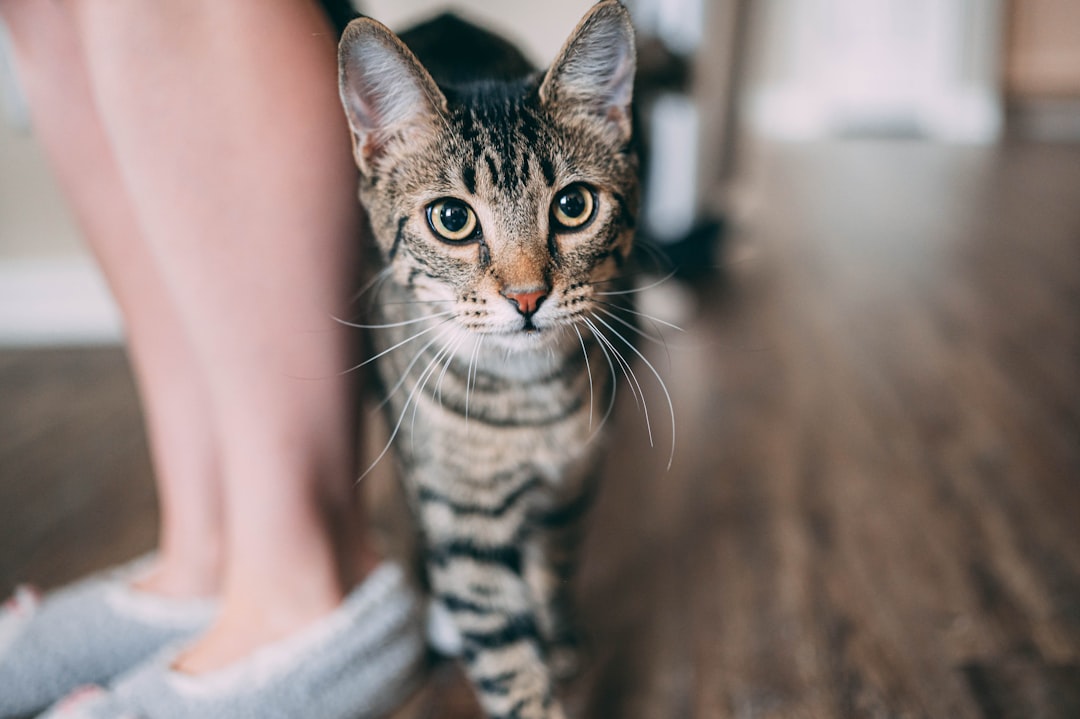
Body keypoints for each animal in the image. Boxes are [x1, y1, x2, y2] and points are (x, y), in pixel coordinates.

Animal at [336, 2, 639, 712]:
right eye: (451, 218)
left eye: (574, 205)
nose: (527, 296)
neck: (526, 396)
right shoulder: (463, 513)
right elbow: (502, 647)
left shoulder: (573, 482)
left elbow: (554, 566)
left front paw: (556, 636)